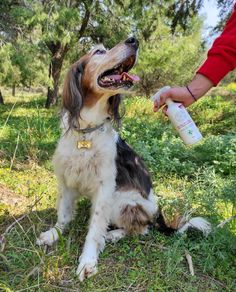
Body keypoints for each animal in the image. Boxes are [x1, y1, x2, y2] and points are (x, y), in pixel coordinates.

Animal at [36, 37, 210, 282]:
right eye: (98, 51)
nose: (133, 40)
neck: (87, 131)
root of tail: (159, 216)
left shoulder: (104, 188)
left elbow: (94, 228)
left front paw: (88, 261)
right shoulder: (67, 178)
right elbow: (64, 214)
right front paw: (54, 234)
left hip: (122, 202)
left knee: (142, 229)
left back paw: (114, 235)